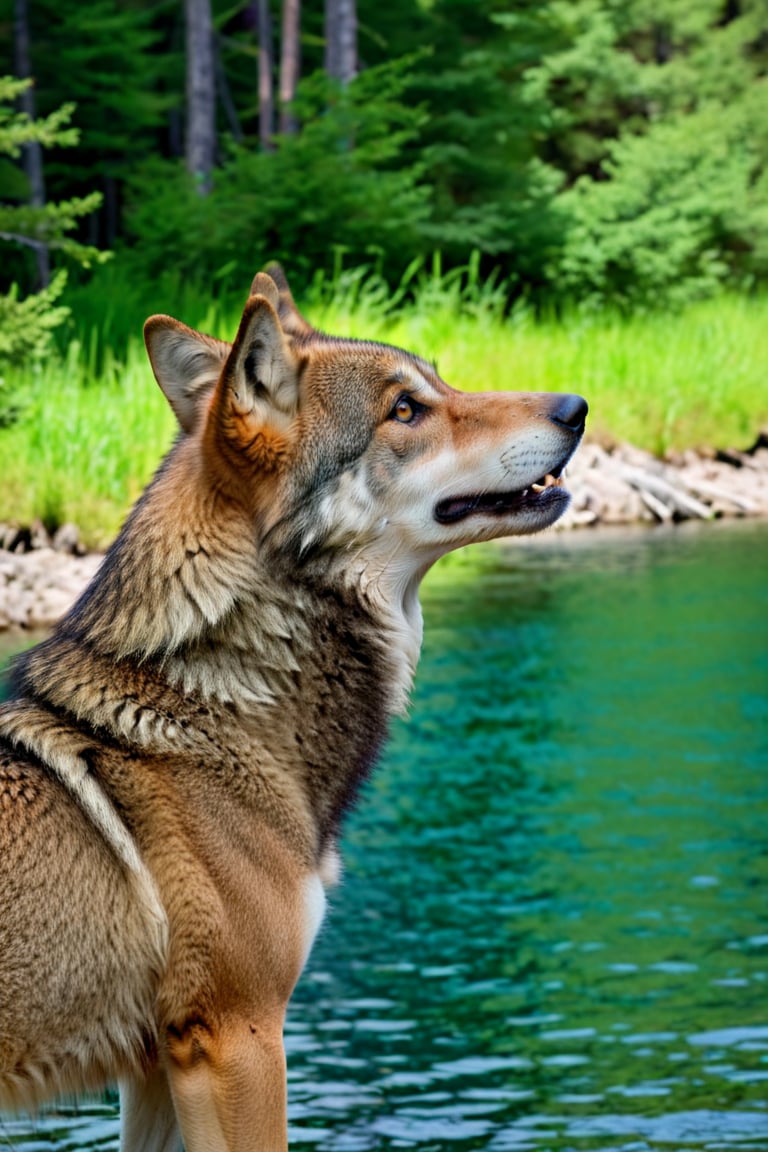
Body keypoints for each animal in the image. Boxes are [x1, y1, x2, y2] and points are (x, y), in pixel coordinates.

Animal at [0, 267, 586, 1150]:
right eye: (405, 409)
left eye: (440, 382)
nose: (576, 407)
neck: (209, 704)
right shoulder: (236, 1039)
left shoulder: (159, 1068)